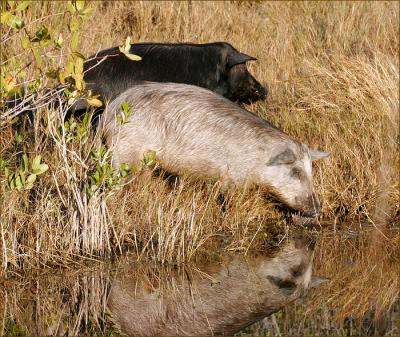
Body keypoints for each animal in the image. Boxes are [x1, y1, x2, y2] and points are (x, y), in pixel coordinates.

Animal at [101, 82, 330, 217]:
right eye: (295, 172)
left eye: (311, 171)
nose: (317, 210)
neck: (259, 157)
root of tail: (110, 111)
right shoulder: (231, 178)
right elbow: (229, 201)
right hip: (125, 154)